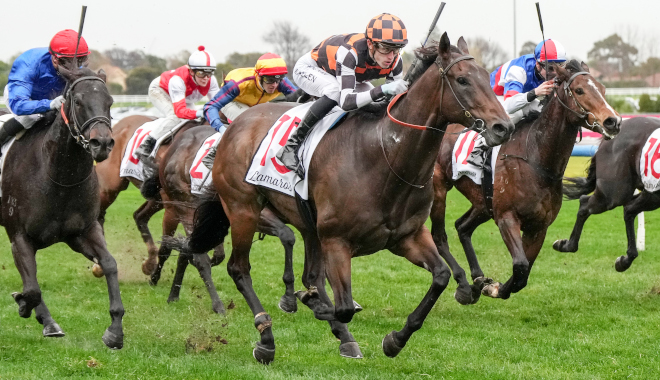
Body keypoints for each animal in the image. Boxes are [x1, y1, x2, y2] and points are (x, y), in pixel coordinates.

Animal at [0, 67, 122, 348]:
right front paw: (28, 307)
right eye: (78, 101)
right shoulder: (19, 236)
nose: (102, 144)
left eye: (110, 101)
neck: (59, 177)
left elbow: (109, 263)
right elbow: (32, 287)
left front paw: (115, 329)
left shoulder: (83, 232)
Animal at [173, 34, 512, 364]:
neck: (384, 158)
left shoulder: (408, 237)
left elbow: (440, 277)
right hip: (243, 209)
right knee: (239, 269)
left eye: (487, 76)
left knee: (308, 273)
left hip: (307, 225)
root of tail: (233, 126)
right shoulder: (337, 241)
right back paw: (267, 338)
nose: (504, 127)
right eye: (462, 79)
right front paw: (314, 305)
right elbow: (344, 306)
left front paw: (394, 340)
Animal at [430, 60, 620, 302]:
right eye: (579, 90)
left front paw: (493, 286)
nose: (613, 121)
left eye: (603, 90)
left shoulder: (538, 227)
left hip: (483, 203)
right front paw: (494, 289)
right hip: (439, 188)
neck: (537, 160)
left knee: (462, 227)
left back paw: (478, 278)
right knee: (439, 236)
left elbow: (524, 273)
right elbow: (520, 264)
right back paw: (464, 286)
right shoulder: (507, 217)